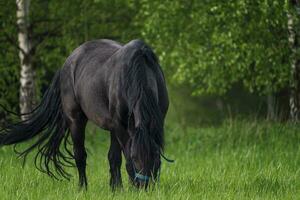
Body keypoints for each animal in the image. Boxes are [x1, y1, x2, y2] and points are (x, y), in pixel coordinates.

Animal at [0, 38, 170, 189]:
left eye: (155, 156)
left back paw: (115, 188)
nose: (144, 187)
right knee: (80, 155)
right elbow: (126, 158)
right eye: (135, 158)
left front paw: (119, 189)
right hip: (76, 120)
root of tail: (68, 62)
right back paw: (83, 188)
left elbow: (116, 157)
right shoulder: (121, 127)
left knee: (112, 157)